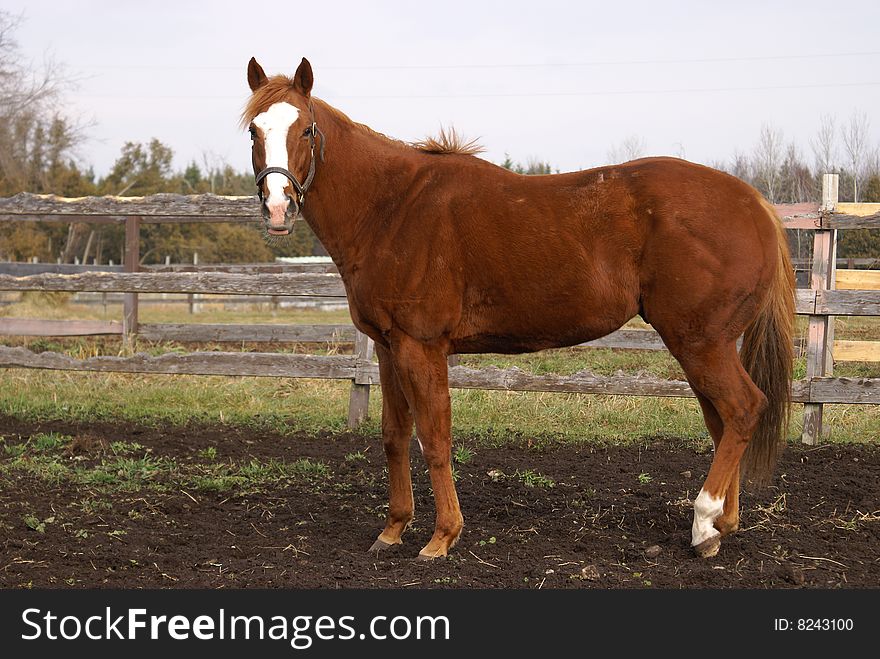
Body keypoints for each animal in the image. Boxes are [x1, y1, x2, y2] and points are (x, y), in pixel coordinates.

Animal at [244, 58, 796, 564]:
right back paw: (722, 525)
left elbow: (435, 438)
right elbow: (395, 436)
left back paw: (704, 523)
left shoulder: (422, 348)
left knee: (742, 409)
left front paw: (442, 538)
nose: (277, 207)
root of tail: (755, 203)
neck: (392, 207)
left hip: (700, 341)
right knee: (724, 421)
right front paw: (393, 529)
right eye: (254, 129)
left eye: (306, 128)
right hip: (705, 344)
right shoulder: (387, 347)